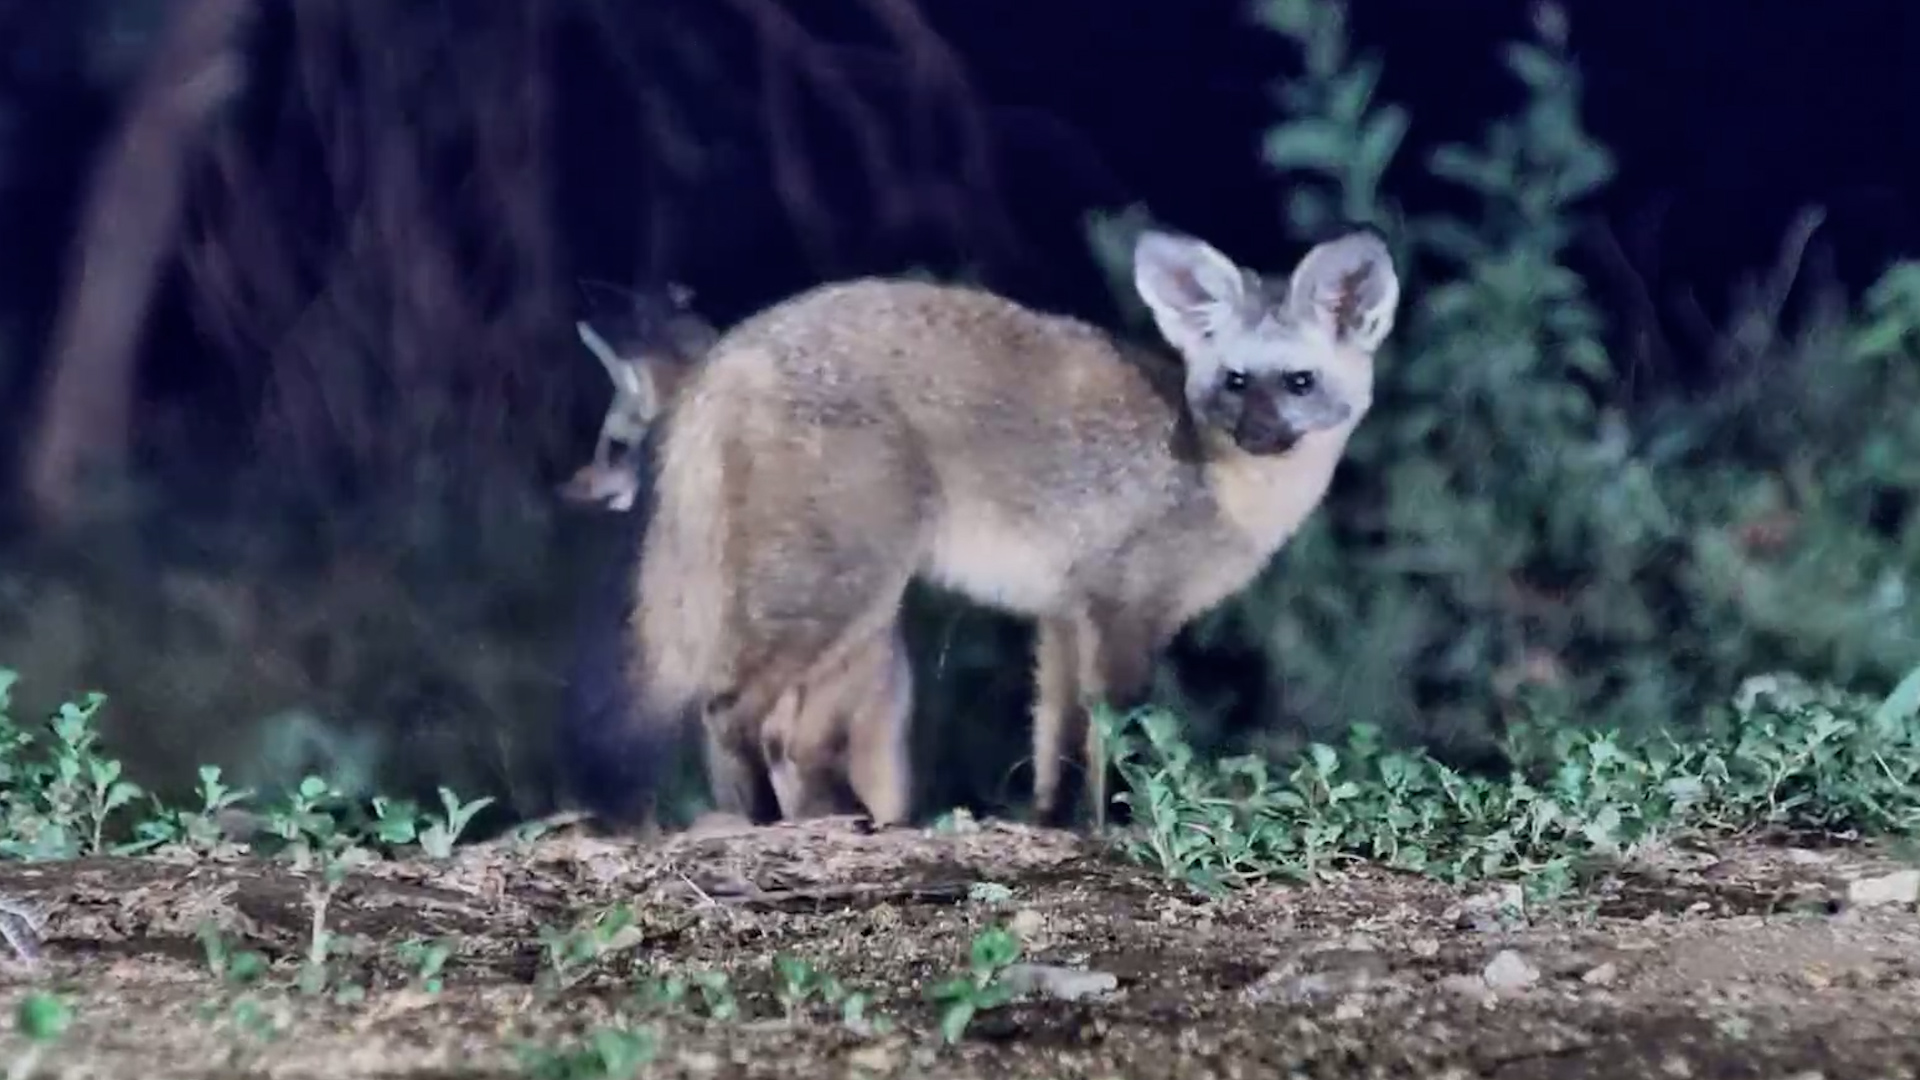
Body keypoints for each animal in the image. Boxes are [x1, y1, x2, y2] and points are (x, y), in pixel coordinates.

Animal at [618, 225, 1401, 830]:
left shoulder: (1062, 621)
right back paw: (761, 822)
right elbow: (1119, 739)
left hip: (851, 619)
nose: (1258, 435)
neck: (1215, 484)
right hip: (842, 596)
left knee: (783, 734)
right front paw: (1123, 825)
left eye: (1297, 383)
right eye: (1236, 382)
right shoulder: (1123, 614)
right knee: (728, 710)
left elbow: (1060, 748)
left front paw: (1056, 826)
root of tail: (730, 353)